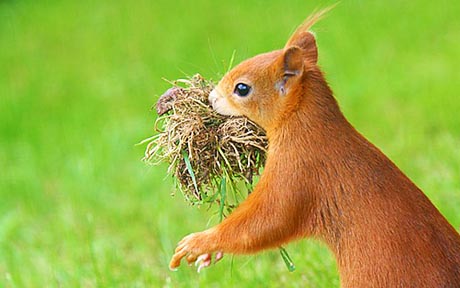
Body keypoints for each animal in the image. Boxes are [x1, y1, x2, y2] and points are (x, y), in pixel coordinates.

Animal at [167, 10, 460, 286]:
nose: (211, 98)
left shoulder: (298, 169)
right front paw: (208, 255)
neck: (308, 125)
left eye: (241, 88)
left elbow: (266, 221)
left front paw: (200, 242)